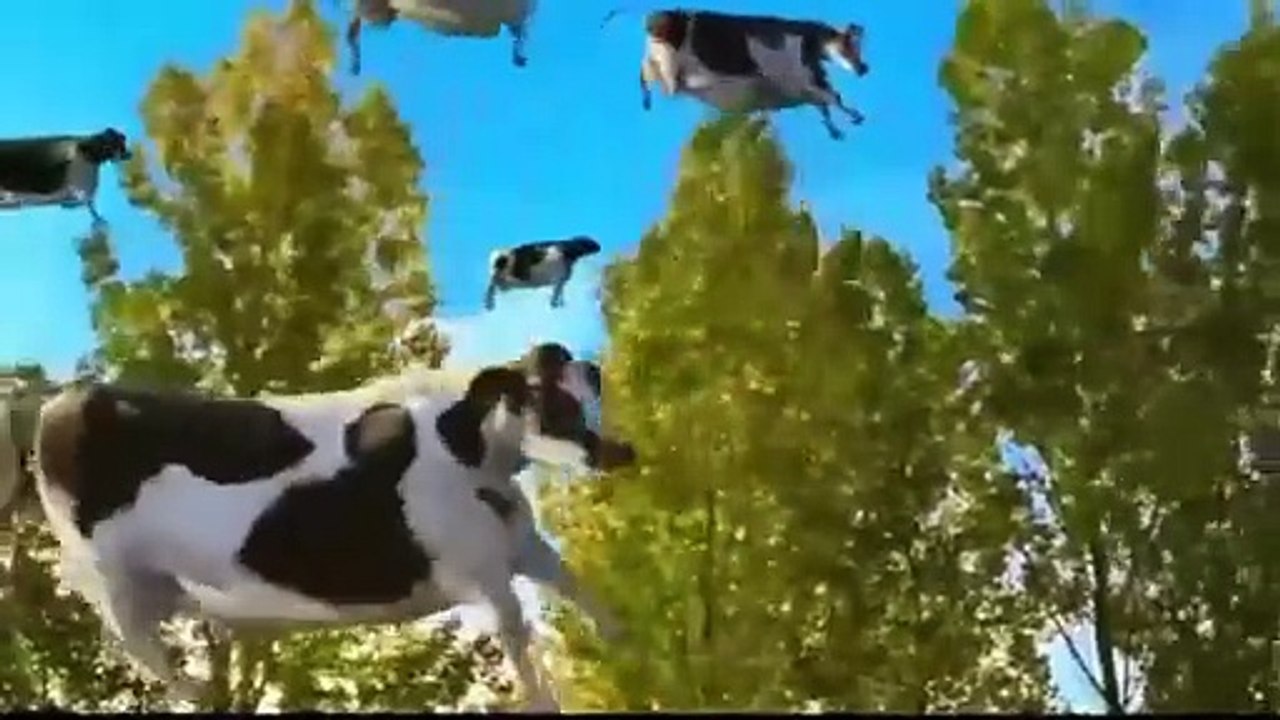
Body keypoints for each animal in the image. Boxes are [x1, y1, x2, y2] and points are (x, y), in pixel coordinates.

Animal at [30, 342, 635, 711]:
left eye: (578, 382)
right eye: (549, 399)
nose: (591, 368)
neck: (470, 448)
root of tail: (66, 400)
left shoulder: (519, 543)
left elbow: (586, 593)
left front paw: (630, 651)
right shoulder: (478, 571)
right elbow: (521, 648)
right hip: (111, 574)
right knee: (133, 639)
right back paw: (199, 690)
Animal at [638, 10, 870, 139]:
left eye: (859, 45)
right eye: (848, 45)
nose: (864, 68)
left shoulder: (805, 79)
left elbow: (824, 103)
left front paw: (838, 130)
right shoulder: (800, 76)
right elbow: (831, 98)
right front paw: (855, 117)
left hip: (658, 62)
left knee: (650, 77)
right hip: (668, 65)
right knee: (665, 83)